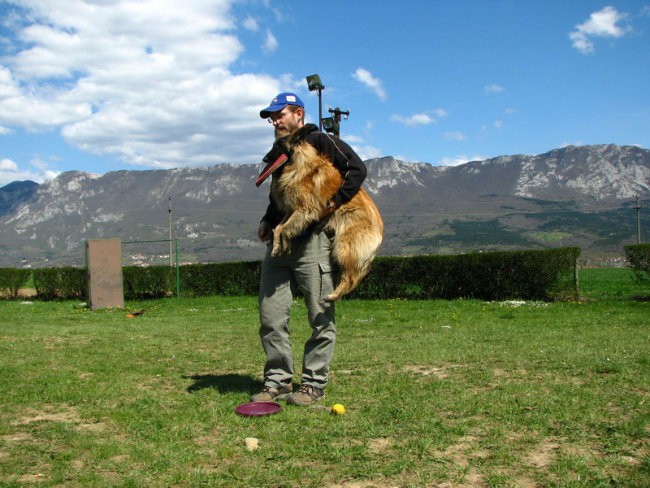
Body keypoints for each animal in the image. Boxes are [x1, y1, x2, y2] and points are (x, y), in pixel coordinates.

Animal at [256, 129, 382, 302]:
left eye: (278, 146)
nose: (265, 159)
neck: (297, 163)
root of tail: (380, 230)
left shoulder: (304, 210)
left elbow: (286, 230)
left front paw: (285, 245)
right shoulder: (291, 210)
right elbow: (279, 229)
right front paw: (277, 247)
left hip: (344, 247)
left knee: (351, 278)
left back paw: (333, 295)